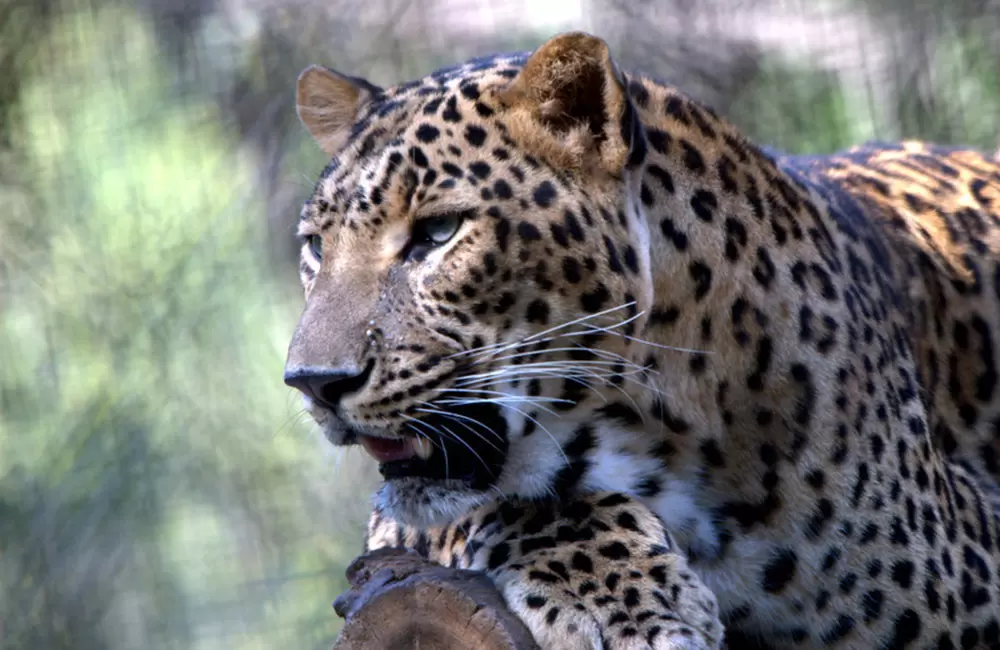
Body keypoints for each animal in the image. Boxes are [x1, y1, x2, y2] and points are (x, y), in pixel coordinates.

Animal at [280, 31, 1000, 648]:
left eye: (438, 232)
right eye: (316, 245)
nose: (314, 384)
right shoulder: (394, 530)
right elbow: (515, 502)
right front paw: (617, 598)